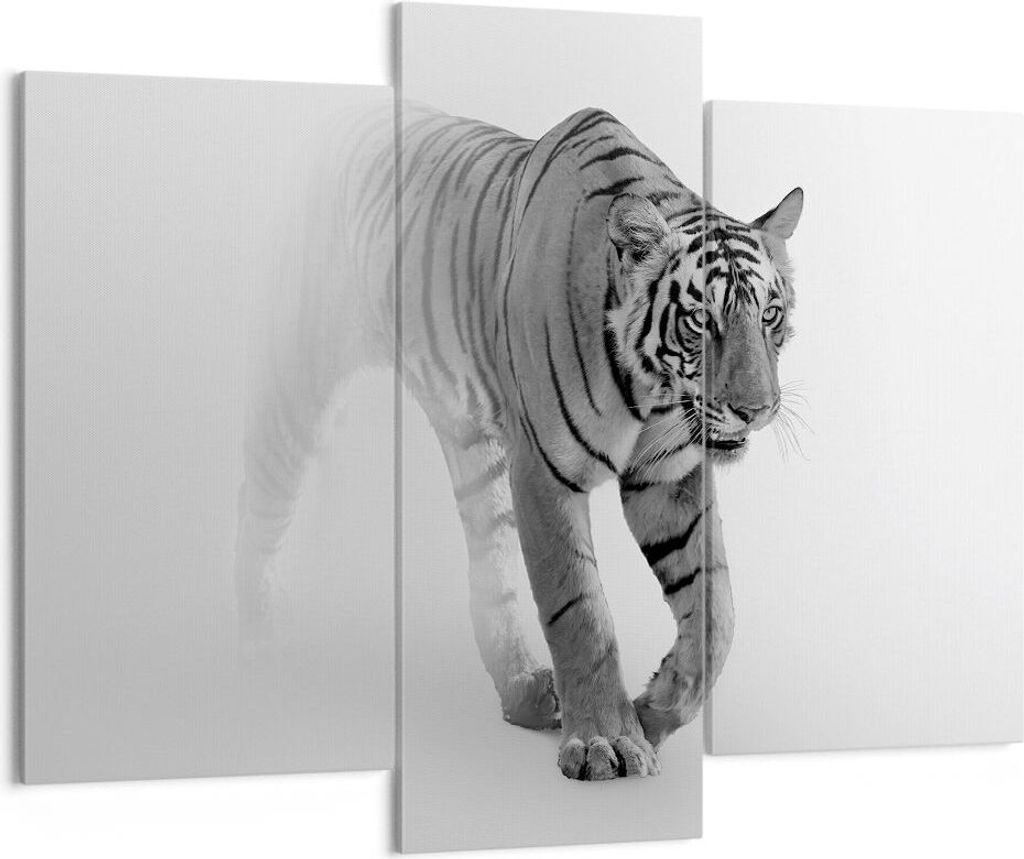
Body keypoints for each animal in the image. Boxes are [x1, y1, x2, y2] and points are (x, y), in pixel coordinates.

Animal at [233, 100, 803, 781]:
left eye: (769, 315)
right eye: (700, 321)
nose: (757, 411)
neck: (651, 391)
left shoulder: (666, 477)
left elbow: (717, 613)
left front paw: (655, 710)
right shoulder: (545, 472)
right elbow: (580, 609)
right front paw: (608, 741)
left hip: (473, 446)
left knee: (491, 569)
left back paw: (525, 694)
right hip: (301, 368)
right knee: (261, 494)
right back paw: (250, 639)